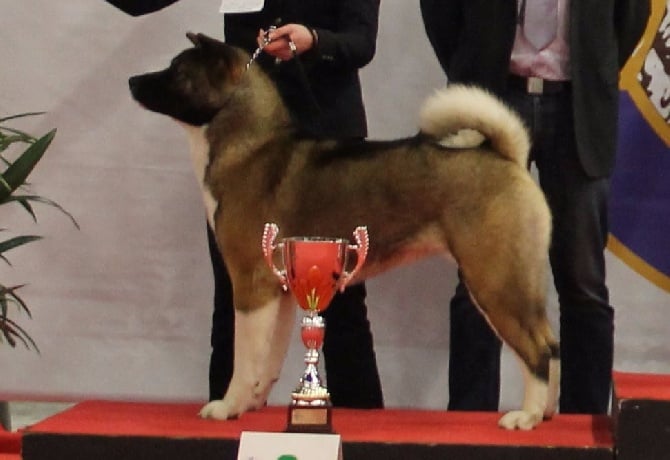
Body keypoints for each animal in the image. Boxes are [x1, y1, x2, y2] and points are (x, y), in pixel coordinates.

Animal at [130, 33, 560, 432]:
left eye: (178, 71)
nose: (133, 80)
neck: (250, 146)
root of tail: (506, 155)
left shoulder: (251, 284)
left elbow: (246, 356)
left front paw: (229, 406)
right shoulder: (279, 287)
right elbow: (268, 358)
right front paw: (253, 403)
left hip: (496, 280)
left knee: (538, 350)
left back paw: (526, 416)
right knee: (552, 344)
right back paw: (548, 413)